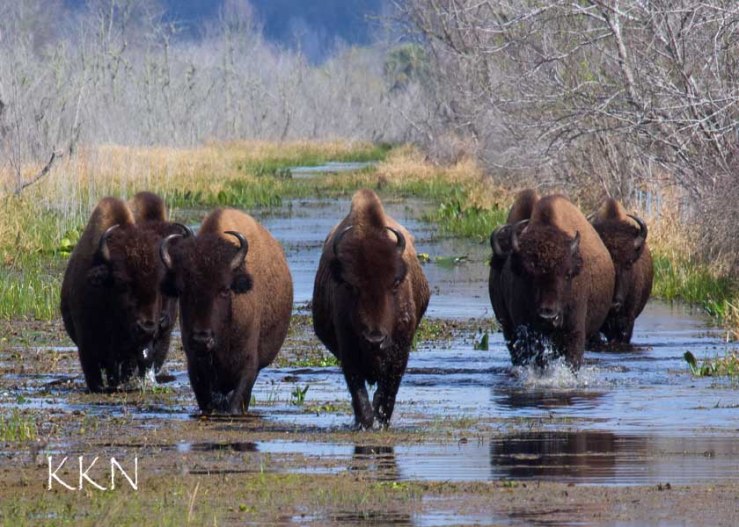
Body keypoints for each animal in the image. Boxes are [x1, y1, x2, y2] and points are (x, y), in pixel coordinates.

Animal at [159, 208, 293, 414]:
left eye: (224, 289)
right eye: (182, 290)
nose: (202, 339)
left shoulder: (248, 365)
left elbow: (236, 402)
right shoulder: (195, 367)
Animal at [312, 189, 430, 428]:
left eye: (395, 283)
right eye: (350, 285)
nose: (375, 339)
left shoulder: (400, 351)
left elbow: (387, 393)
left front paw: (380, 421)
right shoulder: (348, 351)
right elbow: (359, 393)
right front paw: (366, 422)